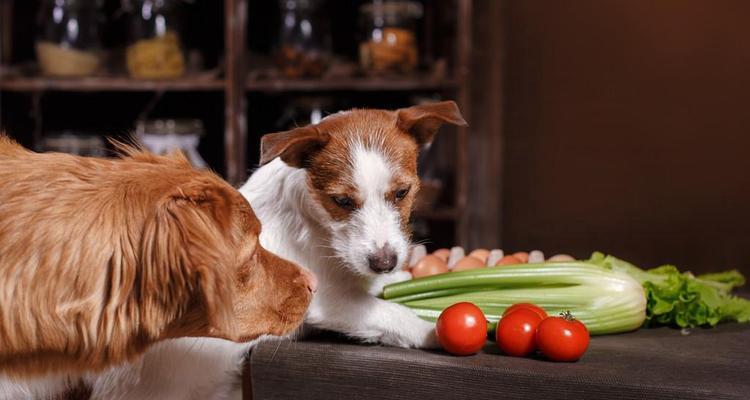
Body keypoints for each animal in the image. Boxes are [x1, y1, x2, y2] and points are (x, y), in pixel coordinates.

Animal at [97, 101, 468, 398]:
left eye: (402, 192)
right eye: (342, 201)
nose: (385, 263)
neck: (316, 228)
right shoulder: (324, 301)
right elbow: (387, 312)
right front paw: (432, 329)